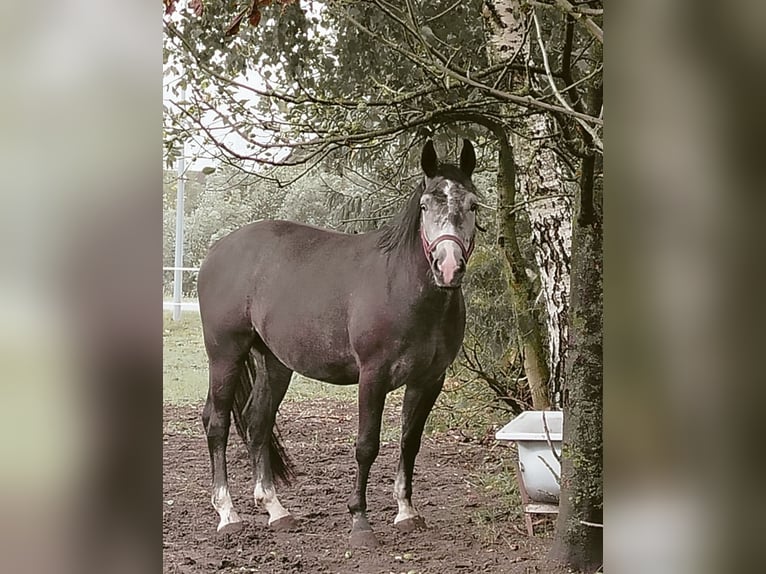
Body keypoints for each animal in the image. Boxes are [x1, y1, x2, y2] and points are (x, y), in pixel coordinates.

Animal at [201, 140, 484, 548]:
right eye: (426, 205)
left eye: (473, 205)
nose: (448, 267)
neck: (403, 288)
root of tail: (216, 251)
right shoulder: (373, 375)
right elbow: (366, 446)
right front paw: (359, 521)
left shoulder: (429, 380)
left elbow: (410, 442)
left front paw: (406, 512)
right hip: (225, 354)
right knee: (218, 423)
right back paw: (227, 514)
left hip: (274, 363)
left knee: (258, 422)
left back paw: (275, 509)